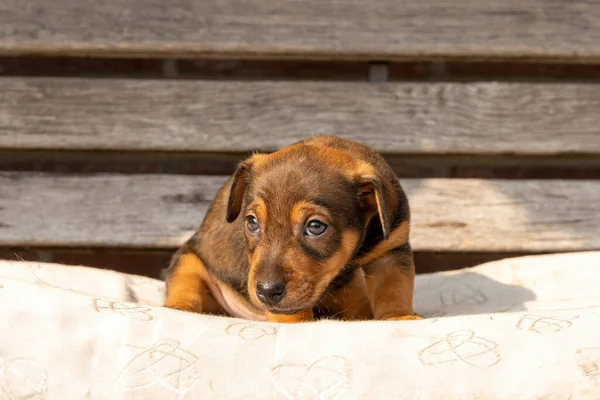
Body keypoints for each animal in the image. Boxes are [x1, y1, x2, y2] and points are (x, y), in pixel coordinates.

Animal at [162, 136, 420, 324]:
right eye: (252, 222)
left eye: (315, 226)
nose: (267, 291)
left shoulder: (392, 248)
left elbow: (393, 288)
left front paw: (399, 317)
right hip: (187, 262)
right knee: (184, 291)